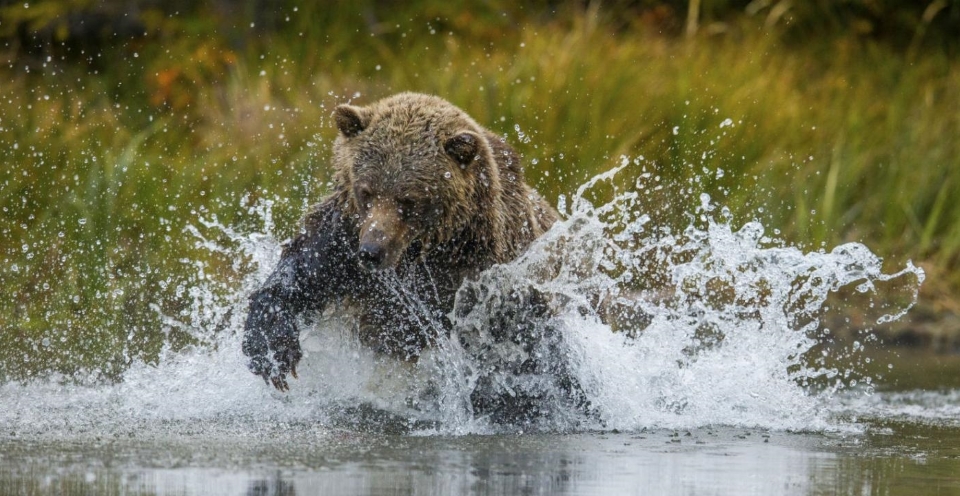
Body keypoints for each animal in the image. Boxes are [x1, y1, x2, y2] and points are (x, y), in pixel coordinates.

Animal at [240, 94, 584, 426]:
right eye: (366, 191)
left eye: (408, 200)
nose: (372, 251)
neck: (424, 251)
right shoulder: (343, 239)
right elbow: (300, 274)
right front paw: (272, 350)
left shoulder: (481, 274)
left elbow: (515, 344)